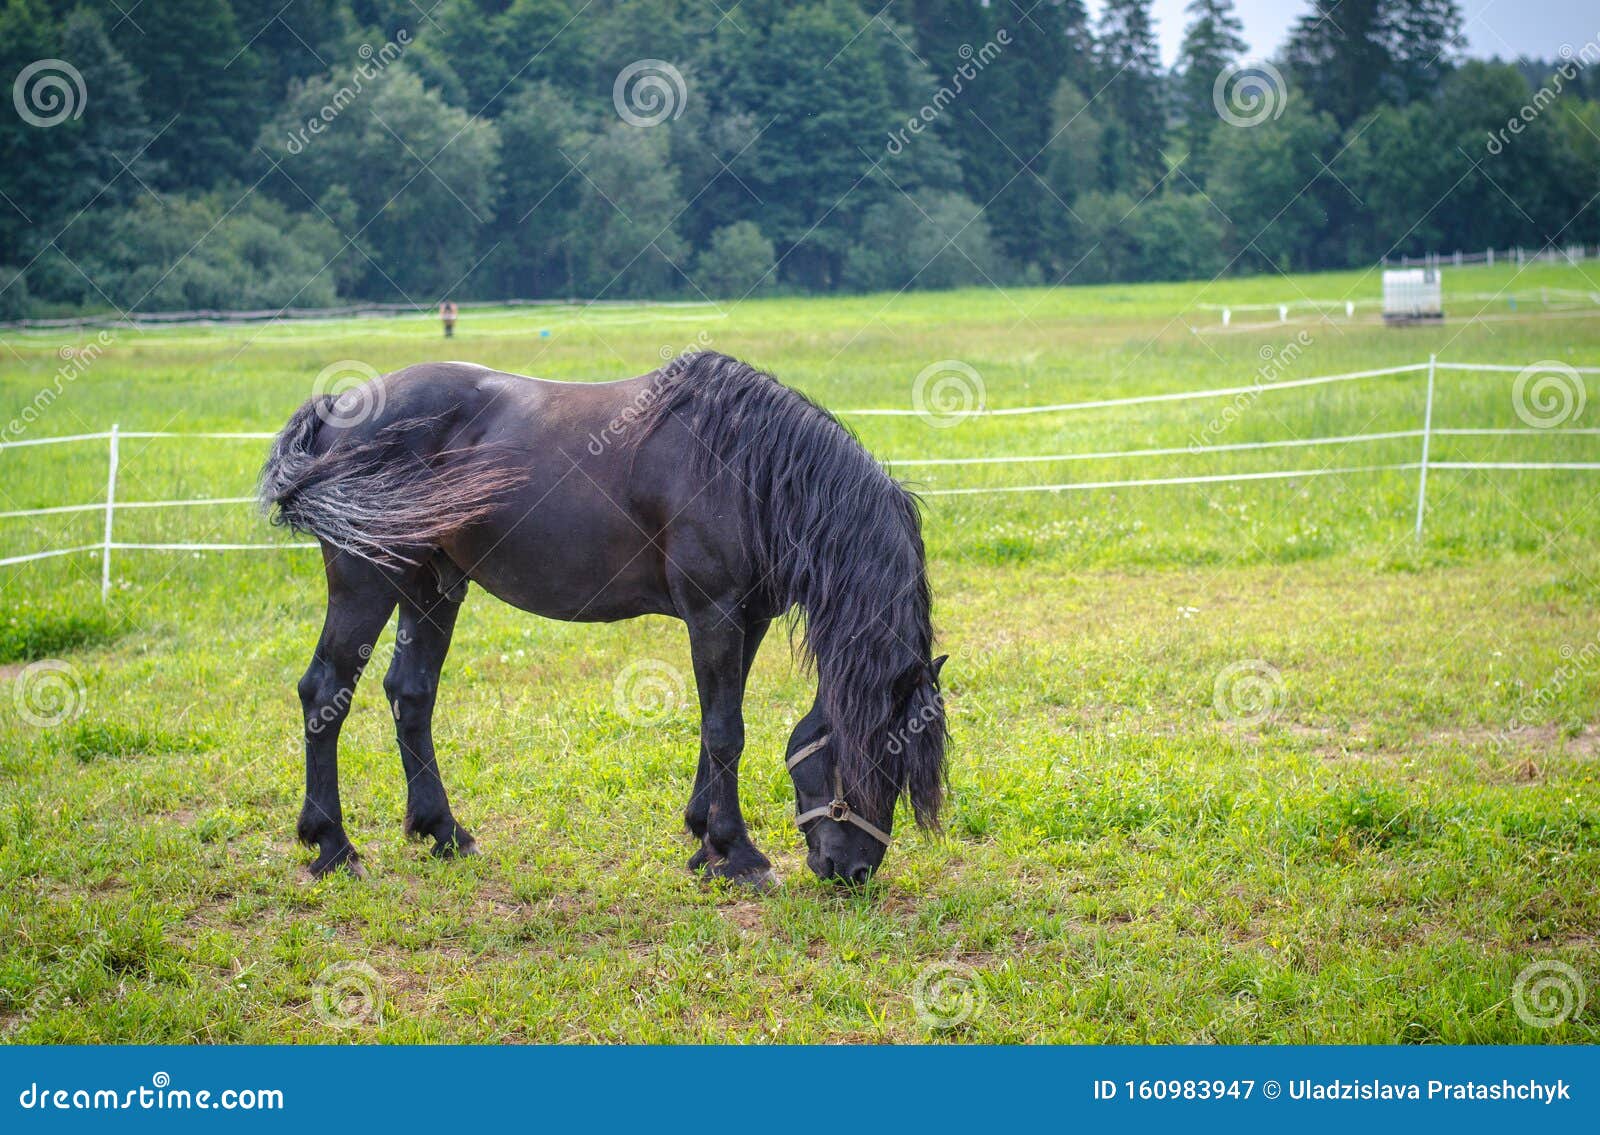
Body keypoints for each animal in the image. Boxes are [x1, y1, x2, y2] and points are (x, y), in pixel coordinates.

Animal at [256, 347, 940, 883]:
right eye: (879, 754)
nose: (853, 871)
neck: (751, 471)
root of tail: (339, 409)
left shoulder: (748, 621)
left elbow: (715, 724)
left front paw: (704, 841)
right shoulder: (714, 614)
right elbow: (727, 730)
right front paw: (740, 855)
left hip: (432, 589)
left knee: (410, 695)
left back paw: (445, 832)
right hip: (367, 583)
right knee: (325, 692)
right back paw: (333, 846)